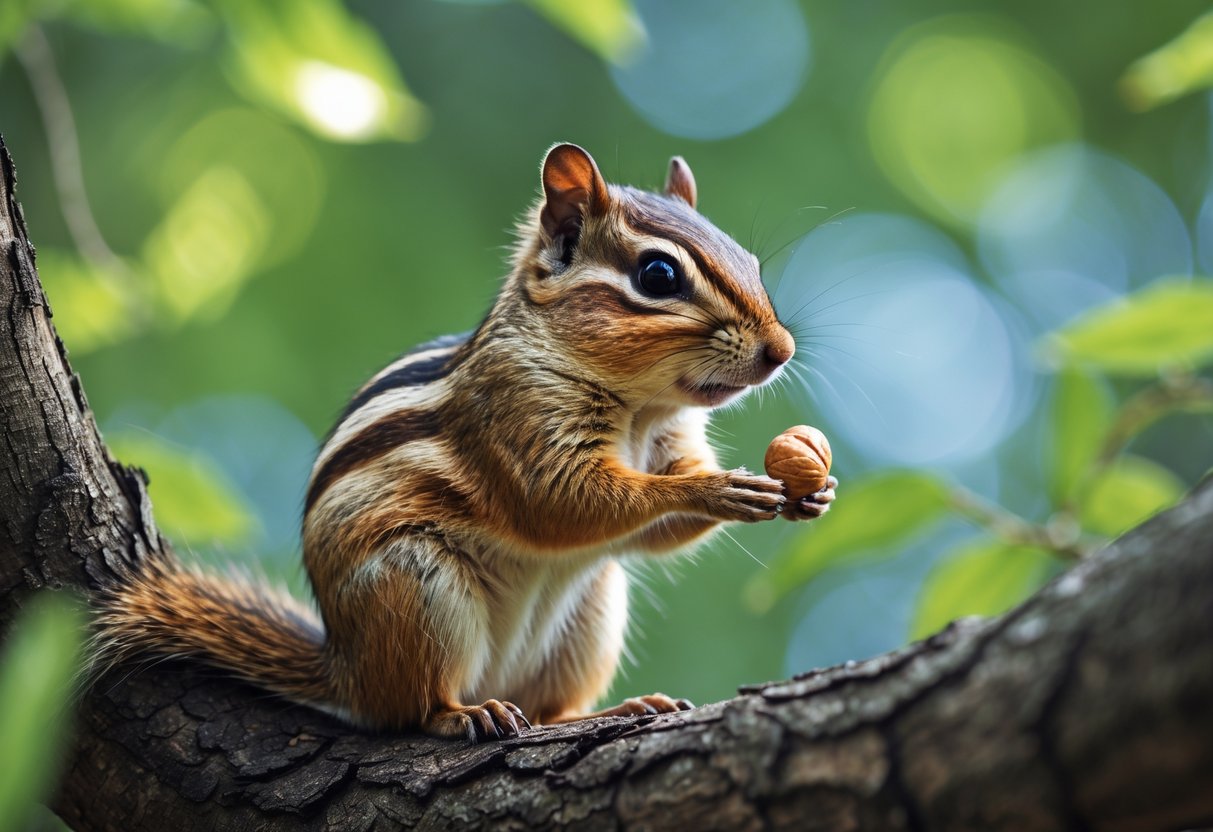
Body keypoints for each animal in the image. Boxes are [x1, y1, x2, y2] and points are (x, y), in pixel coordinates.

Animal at [96, 144, 838, 741]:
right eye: (658, 276)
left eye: (748, 259)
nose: (781, 350)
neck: (641, 409)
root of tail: (344, 668)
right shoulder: (516, 424)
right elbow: (563, 504)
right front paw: (717, 488)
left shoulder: (668, 439)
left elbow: (650, 530)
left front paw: (811, 491)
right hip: (418, 590)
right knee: (411, 709)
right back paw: (461, 713)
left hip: (592, 611)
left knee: (546, 711)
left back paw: (612, 710)